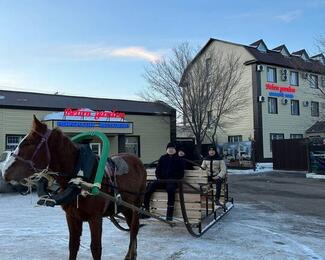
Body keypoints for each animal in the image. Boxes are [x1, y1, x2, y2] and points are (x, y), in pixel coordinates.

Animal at [2, 116, 147, 260]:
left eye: (28, 143)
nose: (5, 171)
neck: (80, 180)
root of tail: (136, 160)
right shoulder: (72, 217)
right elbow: (73, 245)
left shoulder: (95, 218)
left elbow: (96, 249)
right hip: (126, 207)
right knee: (132, 228)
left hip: (136, 206)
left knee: (134, 229)